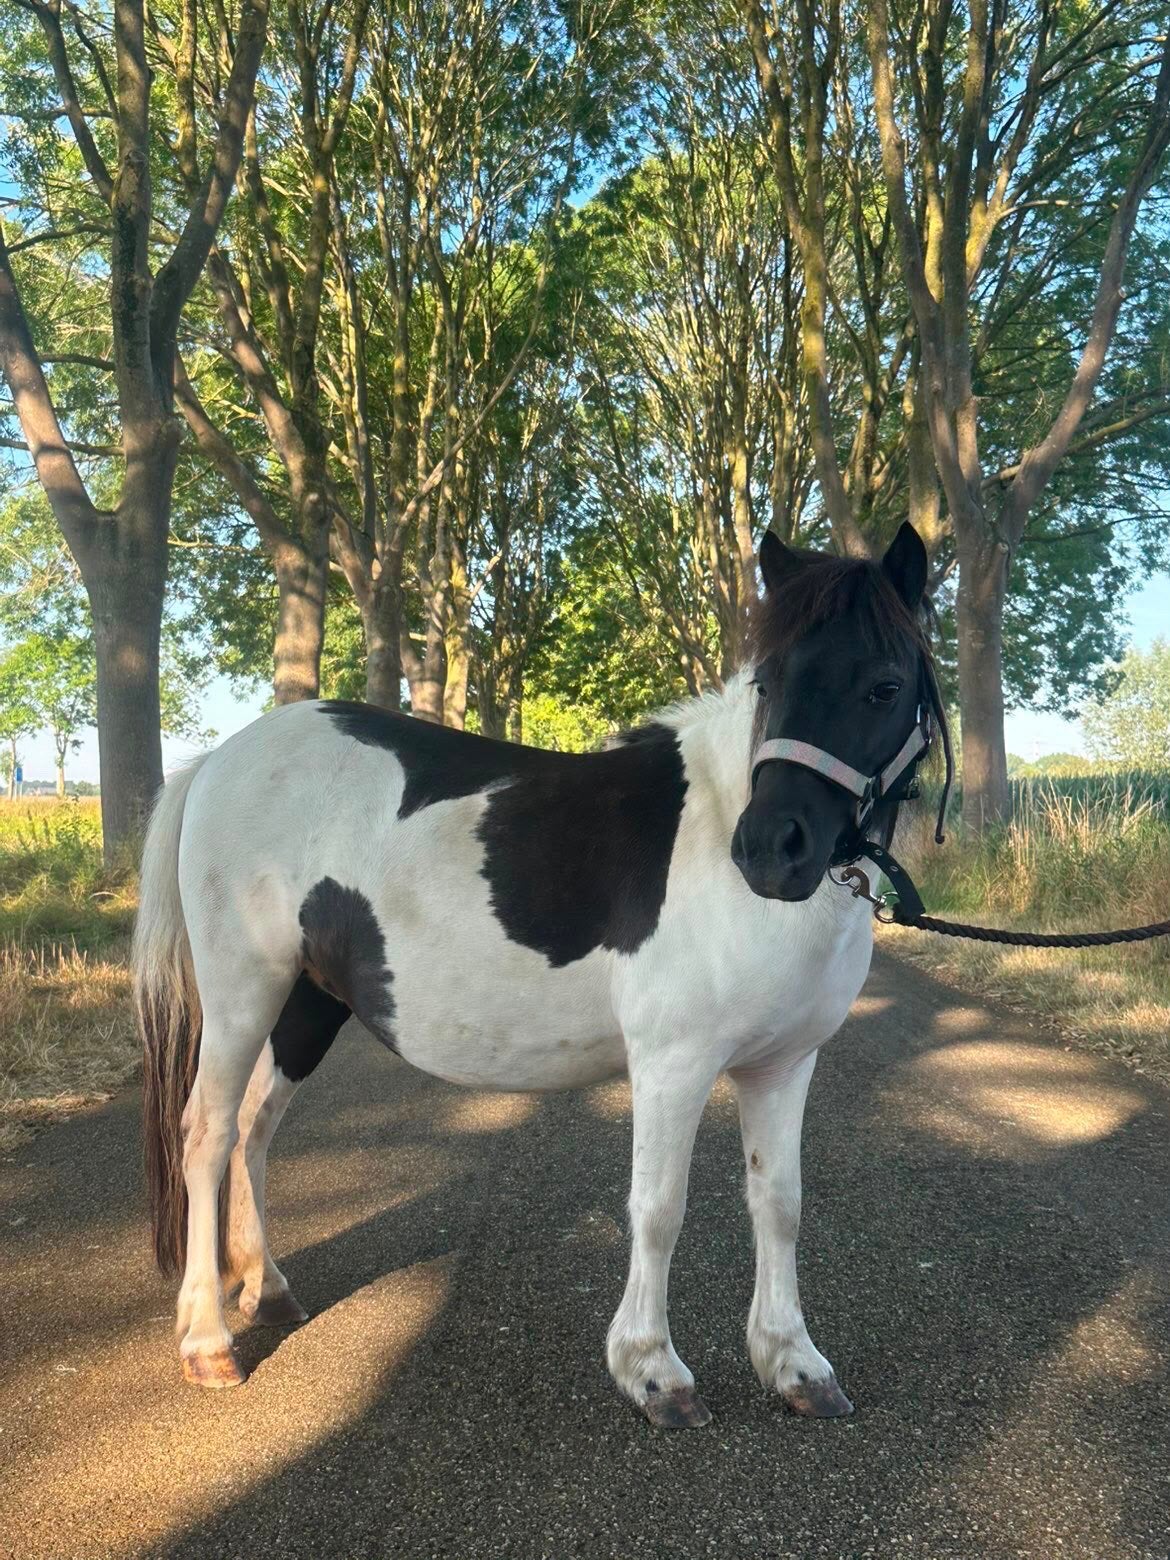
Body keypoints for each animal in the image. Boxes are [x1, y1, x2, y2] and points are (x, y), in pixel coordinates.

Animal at [136, 519, 947, 1428]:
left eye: (884, 687)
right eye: (768, 683)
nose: (773, 850)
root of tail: (216, 760)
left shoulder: (783, 1064)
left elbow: (780, 1204)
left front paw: (794, 1364)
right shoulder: (673, 1063)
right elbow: (658, 1210)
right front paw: (651, 1371)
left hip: (307, 1004)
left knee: (254, 1127)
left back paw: (267, 1289)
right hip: (243, 992)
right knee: (207, 1135)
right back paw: (208, 1342)